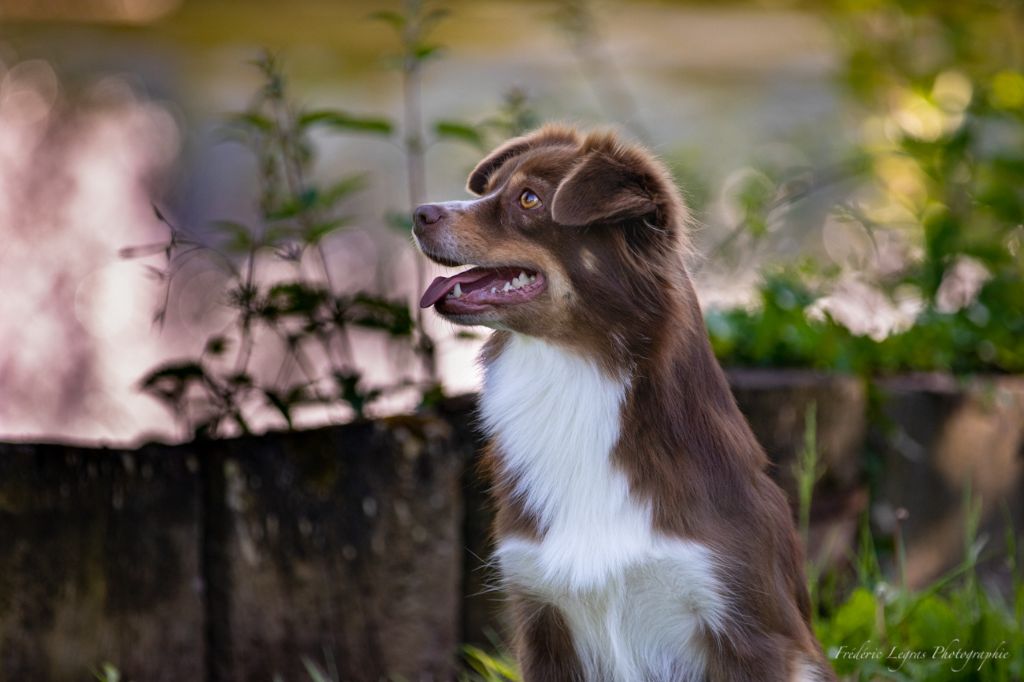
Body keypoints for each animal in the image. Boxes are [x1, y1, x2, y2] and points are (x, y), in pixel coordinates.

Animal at [411, 123, 835, 679]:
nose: (419, 215)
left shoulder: (747, 625)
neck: (577, 375)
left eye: (529, 199)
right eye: (493, 189)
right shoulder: (541, 613)